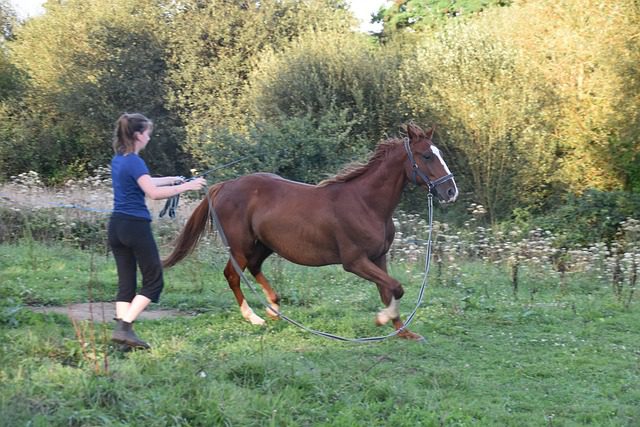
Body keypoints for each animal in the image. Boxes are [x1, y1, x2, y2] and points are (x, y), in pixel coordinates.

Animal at [162, 123, 458, 342]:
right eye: (427, 156)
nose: (450, 191)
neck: (366, 203)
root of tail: (223, 186)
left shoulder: (378, 257)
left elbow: (389, 290)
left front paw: (404, 332)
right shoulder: (354, 262)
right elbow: (396, 287)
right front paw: (382, 319)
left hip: (264, 244)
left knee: (255, 268)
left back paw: (274, 308)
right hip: (239, 246)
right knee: (233, 275)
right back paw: (254, 317)